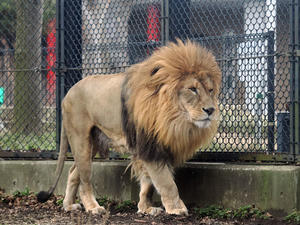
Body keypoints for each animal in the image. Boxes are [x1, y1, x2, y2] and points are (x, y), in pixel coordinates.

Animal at [37, 39, 220, 216]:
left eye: (210, 90)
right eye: (192, 89)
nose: (211, 110)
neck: (172, 117)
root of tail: (67, 94)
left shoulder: (154, 148)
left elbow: (148, 184)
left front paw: (146, 209)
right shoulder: (149, 146)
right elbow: (166, 183)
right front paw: (176, 209)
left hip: (93, 142)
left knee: (73, 172)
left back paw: (68, 206)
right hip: (80, 139)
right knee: (85, 179)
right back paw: (93, 207)